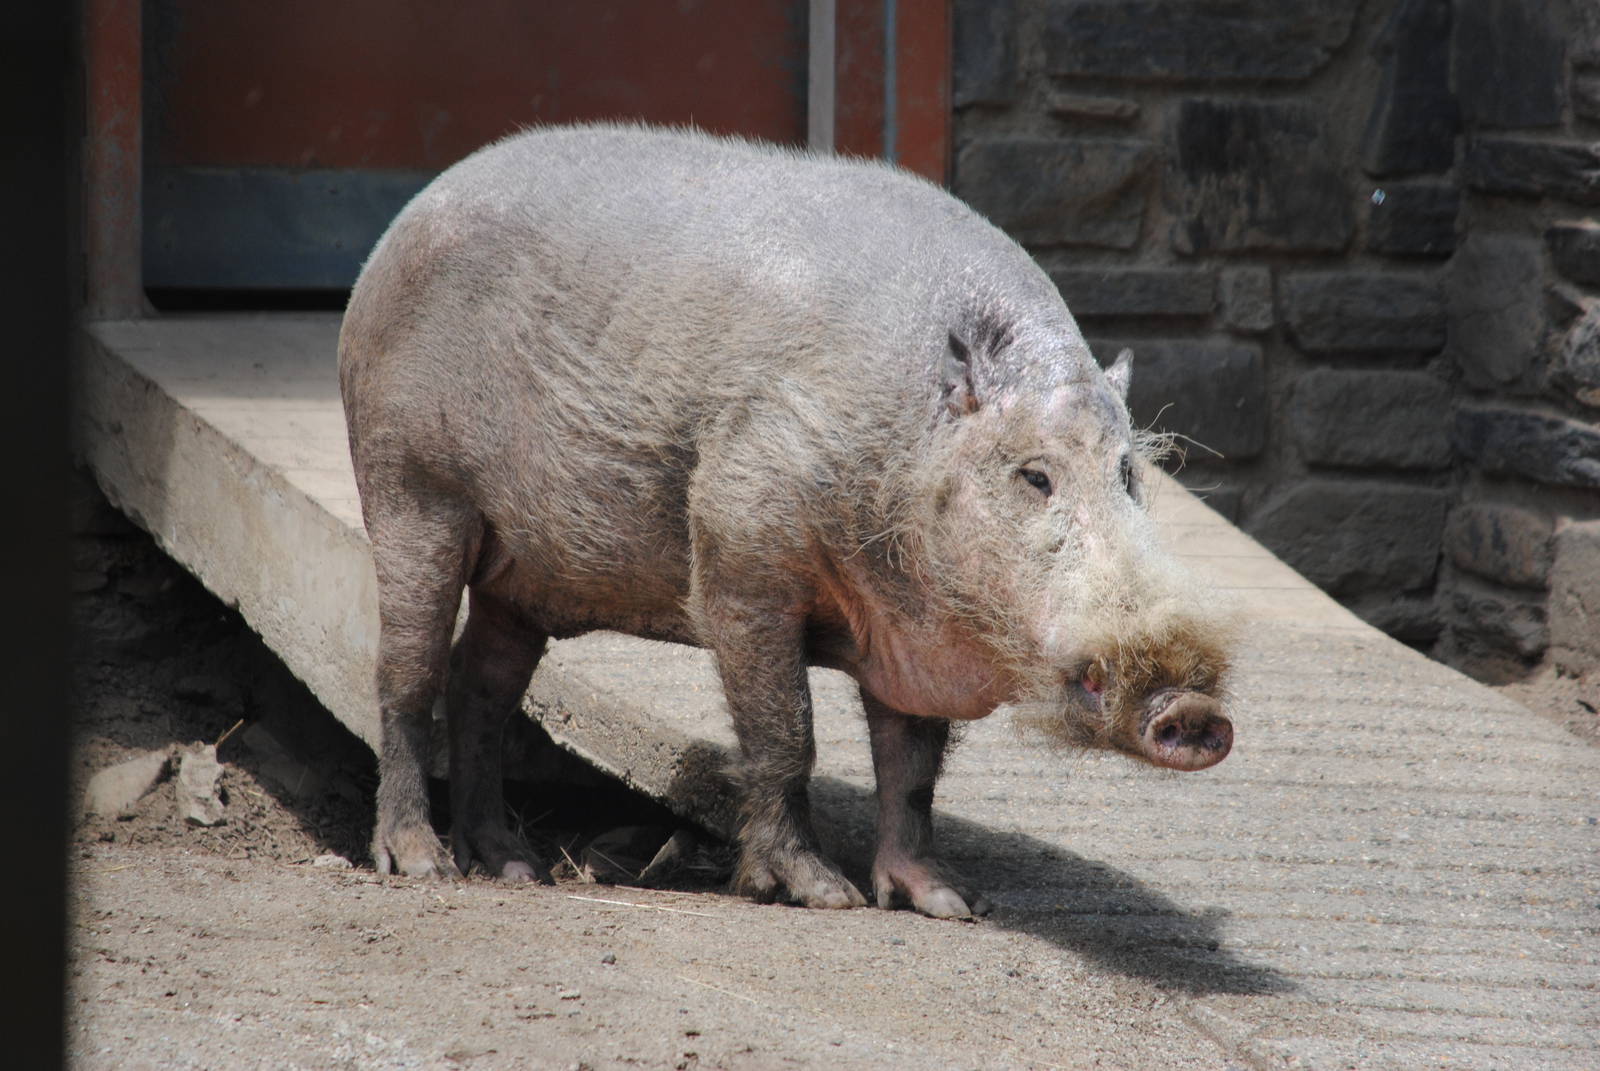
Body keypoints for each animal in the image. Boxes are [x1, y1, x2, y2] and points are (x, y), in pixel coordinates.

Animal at [339, 123, 1234, 918]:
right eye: (1035, 475)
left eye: (1127, 472)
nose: (1194, 707)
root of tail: (398, 230)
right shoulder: (740, 548)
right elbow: (785, 733)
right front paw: (825, 895)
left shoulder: (915, 638)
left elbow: (912, 770)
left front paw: (950, 904)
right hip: (410, 482)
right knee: (407, 673)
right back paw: (421, 864)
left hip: (520, 578)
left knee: (482, 682)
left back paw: (513, 866)